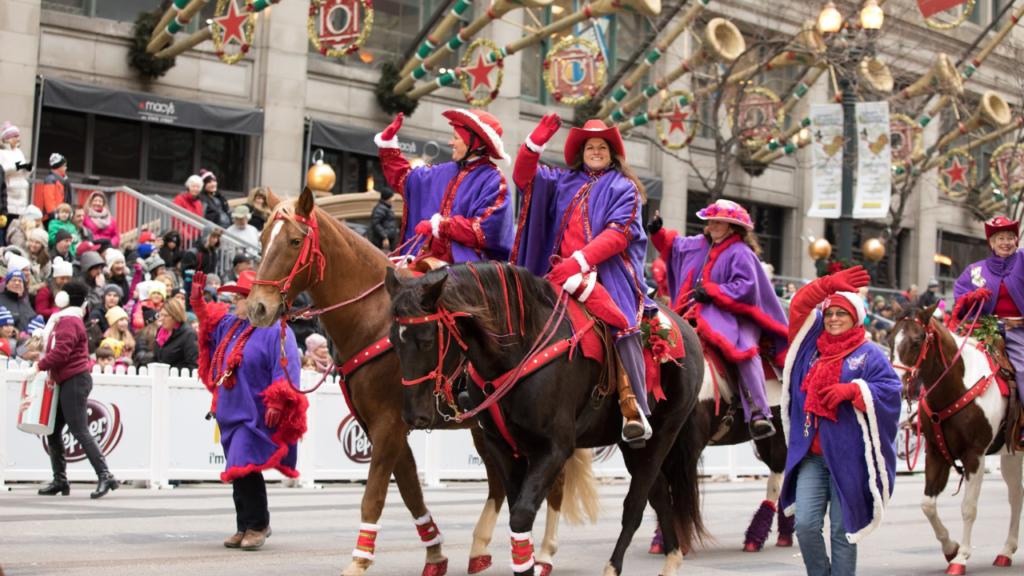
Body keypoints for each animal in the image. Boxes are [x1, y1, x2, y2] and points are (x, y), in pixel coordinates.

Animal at [242, 188, 573, 573]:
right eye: (263, 239)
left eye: (295, 241)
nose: (257, 308)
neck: (373, 319)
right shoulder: (380, 425)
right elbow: (411, 491)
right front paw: (435, 553)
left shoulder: (389, 424)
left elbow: (374, 495)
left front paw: (359, 560)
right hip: (486, 429)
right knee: (498, 484)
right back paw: (480, 548)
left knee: (555, 484)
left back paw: (545, 553)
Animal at [387, 261, 708, 573]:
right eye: (392, 340)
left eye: (427, 341)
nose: (413, 415)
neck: (517, 354)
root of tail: (683, 327)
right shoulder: (501, 446)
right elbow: (518, 518)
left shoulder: (554, 448)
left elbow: (521, 516)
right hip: (633, 447)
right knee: (661, 497)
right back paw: (671, 560)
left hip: (663, 435)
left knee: (636, 505)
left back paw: (614, 566)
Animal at [888, 301, 1024, 569]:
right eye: (889, 339)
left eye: (917, 341)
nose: (896, 385)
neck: (957, 386)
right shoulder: (936, 453)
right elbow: (927, 504)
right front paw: (950, 548)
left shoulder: (975, 456)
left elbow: (968, 507)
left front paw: (961, 558)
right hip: (1011, 455)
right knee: (1016, 495)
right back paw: (1006, 550)